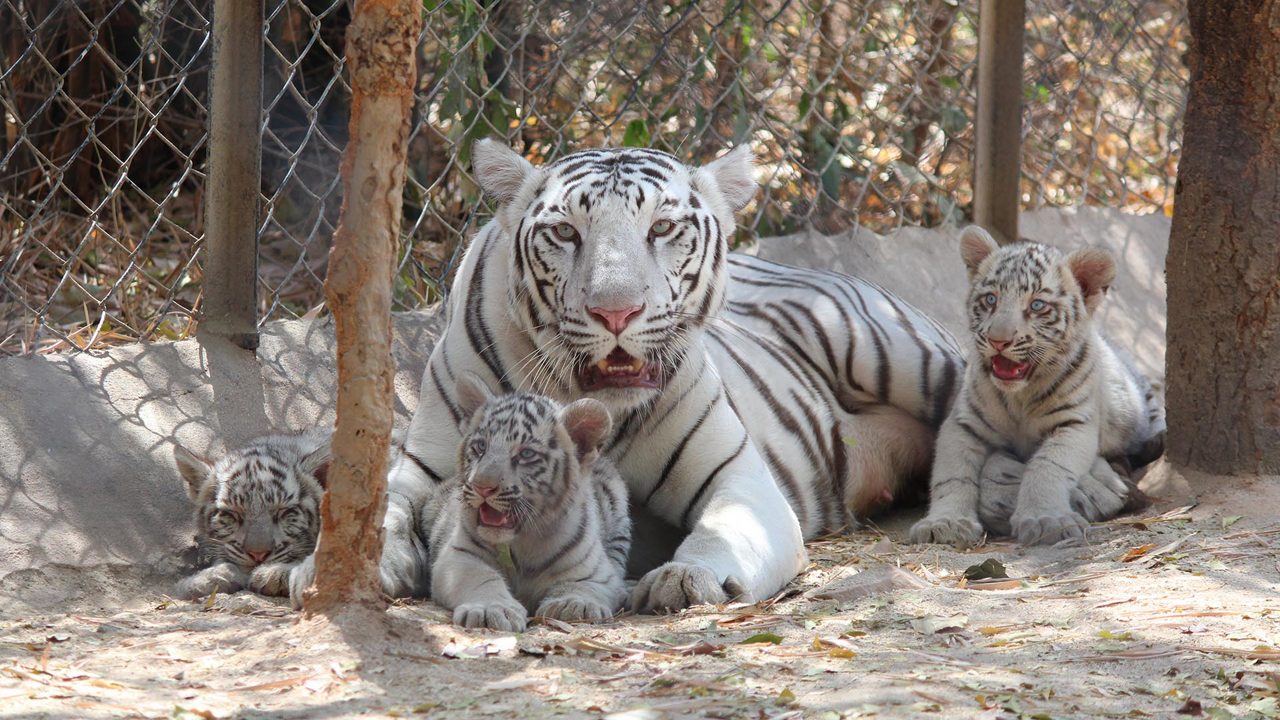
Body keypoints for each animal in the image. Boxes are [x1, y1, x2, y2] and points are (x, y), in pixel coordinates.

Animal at [293, 141, 962, 609]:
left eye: (662, 228)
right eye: (566, 232)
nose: (615, 312)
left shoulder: (740, 478)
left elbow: (720, 533)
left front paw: (685, 577)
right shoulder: (425, 470)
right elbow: (378, 516)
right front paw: (322, 570)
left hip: (896, 349)